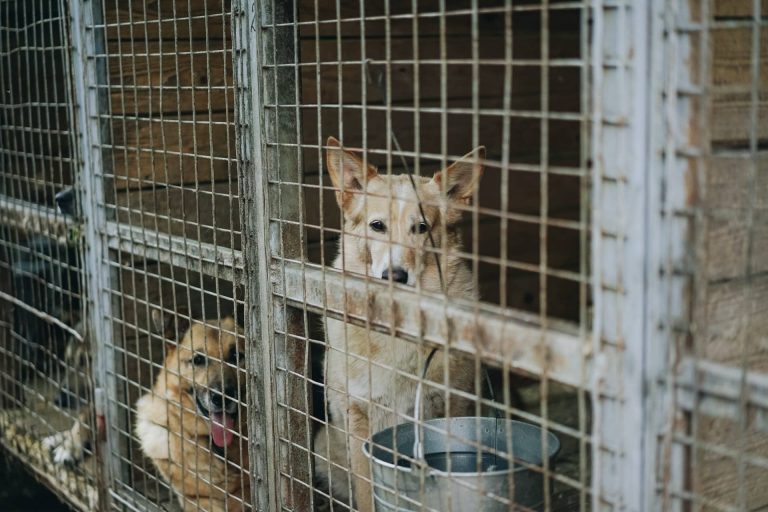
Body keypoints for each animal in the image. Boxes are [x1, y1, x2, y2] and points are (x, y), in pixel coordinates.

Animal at [314, 138, 484, 510]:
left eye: (421, 228)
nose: (395, 275)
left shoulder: (451, 408)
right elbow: (366, 493)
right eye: (377, 226)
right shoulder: (357, 416)